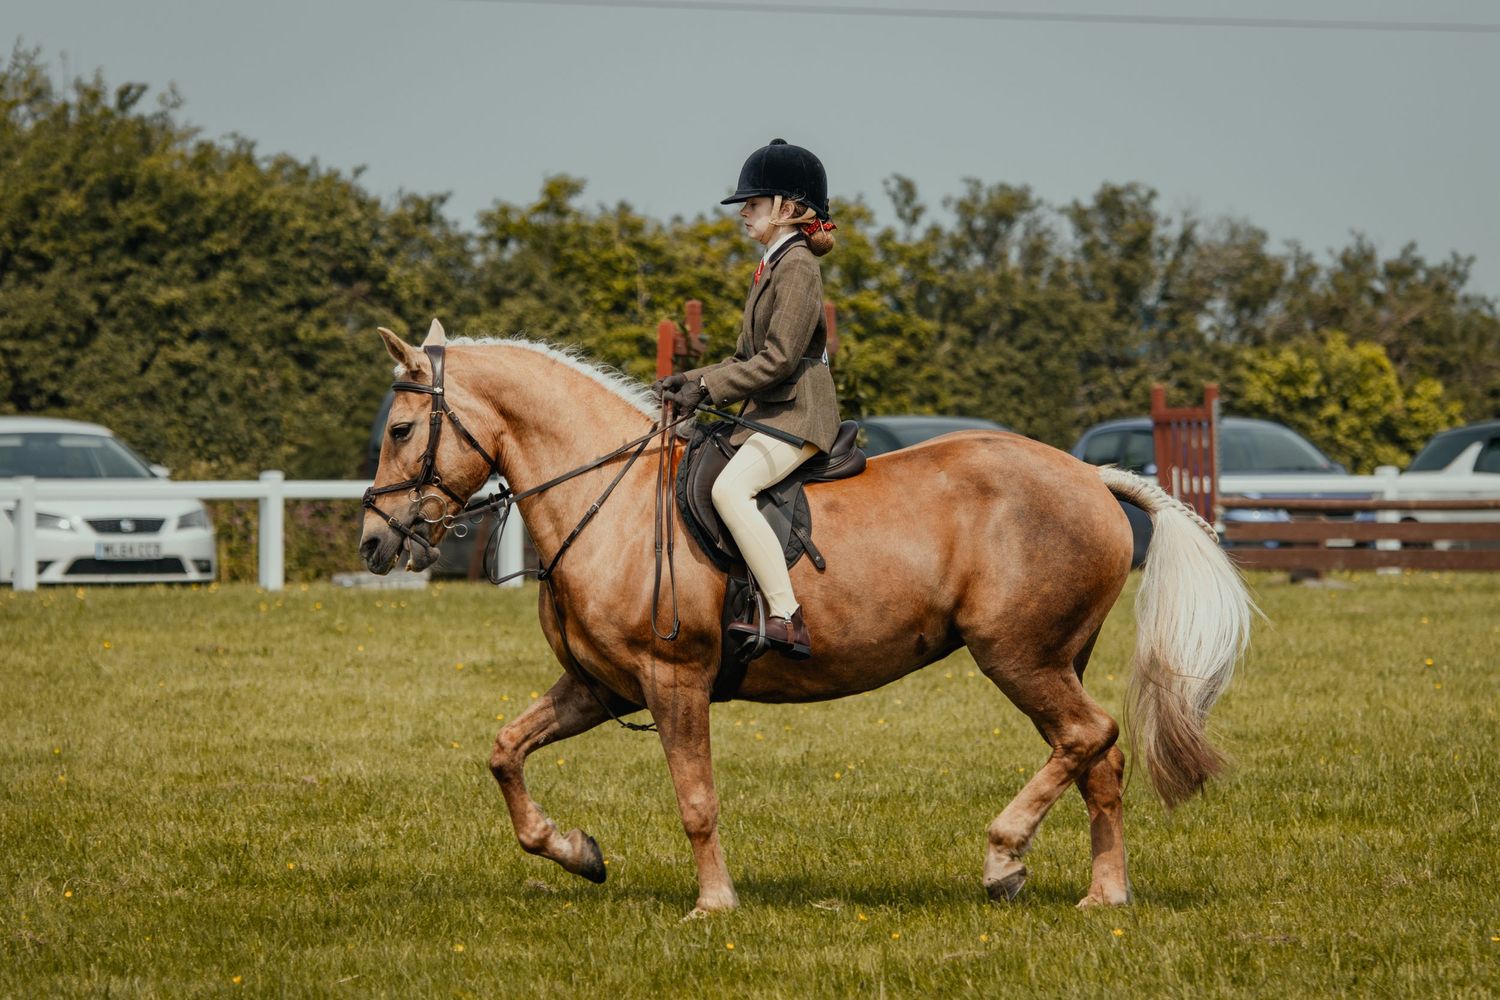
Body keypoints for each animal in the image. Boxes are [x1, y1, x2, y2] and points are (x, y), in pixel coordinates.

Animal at [359, 321, 1252, 915]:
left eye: (401, 429)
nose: (374, 541)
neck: (610, 500)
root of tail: (1093, 477)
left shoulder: (671, 679)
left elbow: (696, 799)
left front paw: (713, 905)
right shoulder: (599, 686)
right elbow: (505, 752)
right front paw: (576, 852)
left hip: (1017, 655)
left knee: (1087, 737)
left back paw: (1004, 860)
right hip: (1054, 659)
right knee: (1097, 756)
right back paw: (1105, 895)